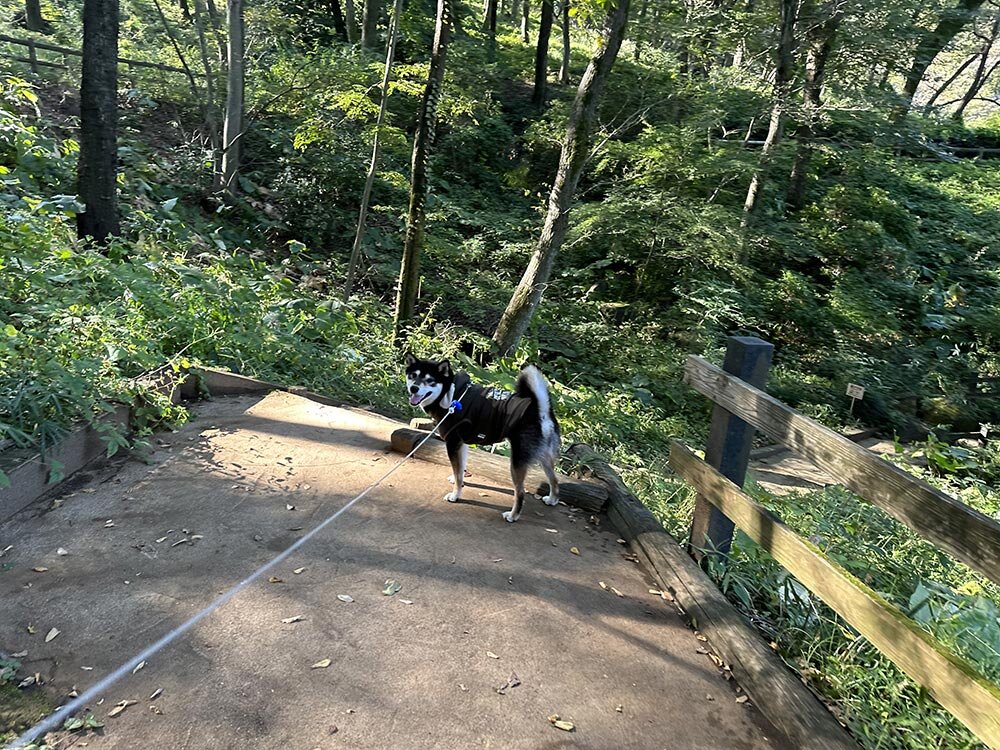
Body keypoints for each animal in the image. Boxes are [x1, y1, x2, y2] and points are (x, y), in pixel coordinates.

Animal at [406, 356, 564, 524]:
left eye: (430, 380)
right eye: (413, 376)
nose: (414, 388)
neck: (451, 394)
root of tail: (540, 409)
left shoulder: (453, 443)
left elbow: (458, 473)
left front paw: (455, 495)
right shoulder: (462, 444)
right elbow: (460, 469)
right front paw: (458, 481)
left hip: (517, 461)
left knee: (520, 492)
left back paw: (513, 515)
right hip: (544, 457)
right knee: (554, 480)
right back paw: (552, 499)